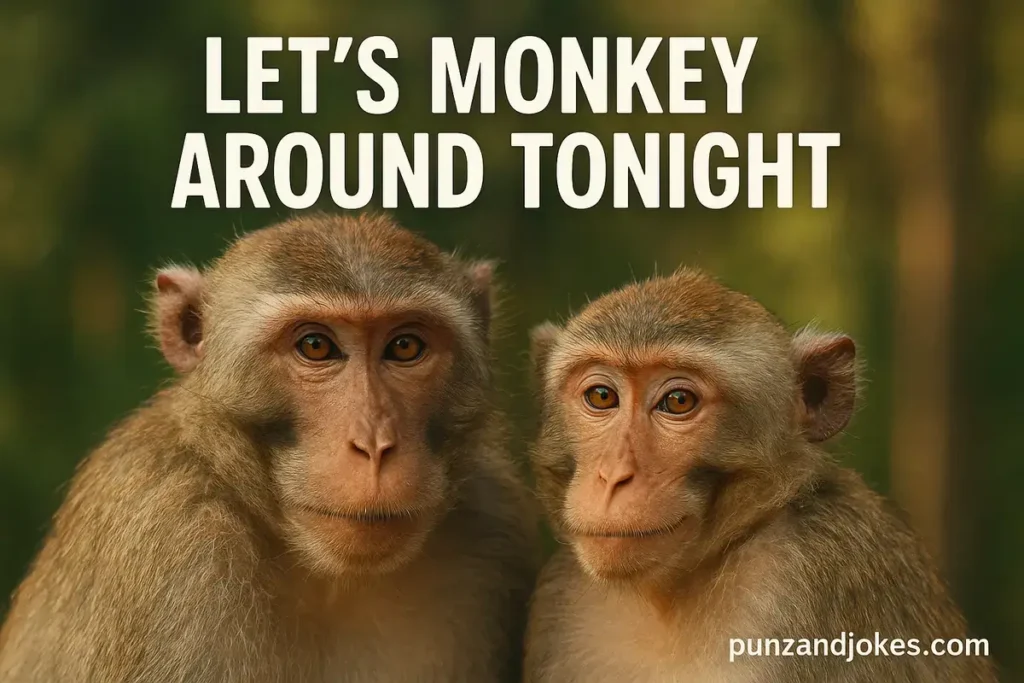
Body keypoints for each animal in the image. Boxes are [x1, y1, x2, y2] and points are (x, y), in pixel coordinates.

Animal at [0, 213, 538, 683]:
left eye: (405, 347)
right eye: (316, 346)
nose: (374, 444)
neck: (328, 578)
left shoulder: (493, 518)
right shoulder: (169, 535)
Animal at [522, 269, 998, 683]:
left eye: (678, 402)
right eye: (602, 396)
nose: (614, 476)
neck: (669, 597)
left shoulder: (809, 584)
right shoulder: (561, 596)